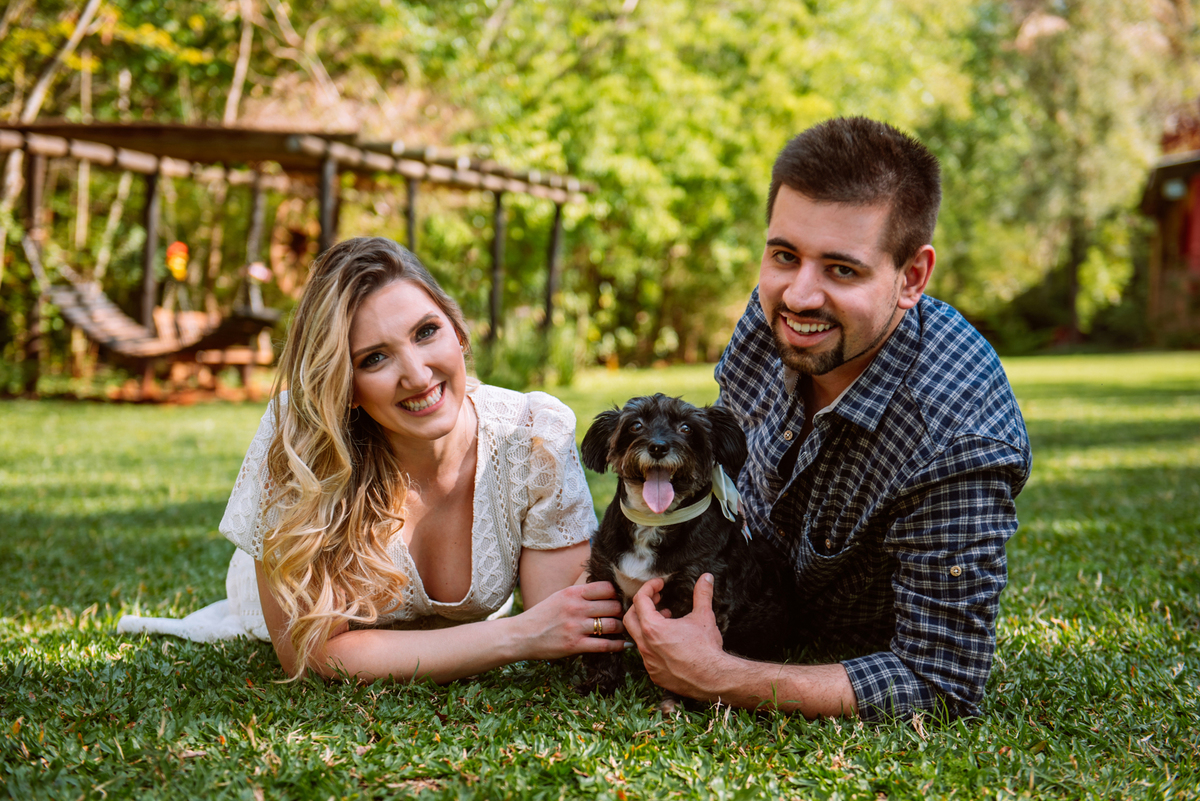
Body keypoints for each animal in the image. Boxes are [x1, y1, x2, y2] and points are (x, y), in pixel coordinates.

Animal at [579, 393, 794, 695]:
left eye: (686, 428)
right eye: (635, 425)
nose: (658, 447)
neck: (654, 521)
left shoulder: (698, 593)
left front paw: (679, 695)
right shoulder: (604, 578)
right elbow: (605, 637)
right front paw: (601, 683)